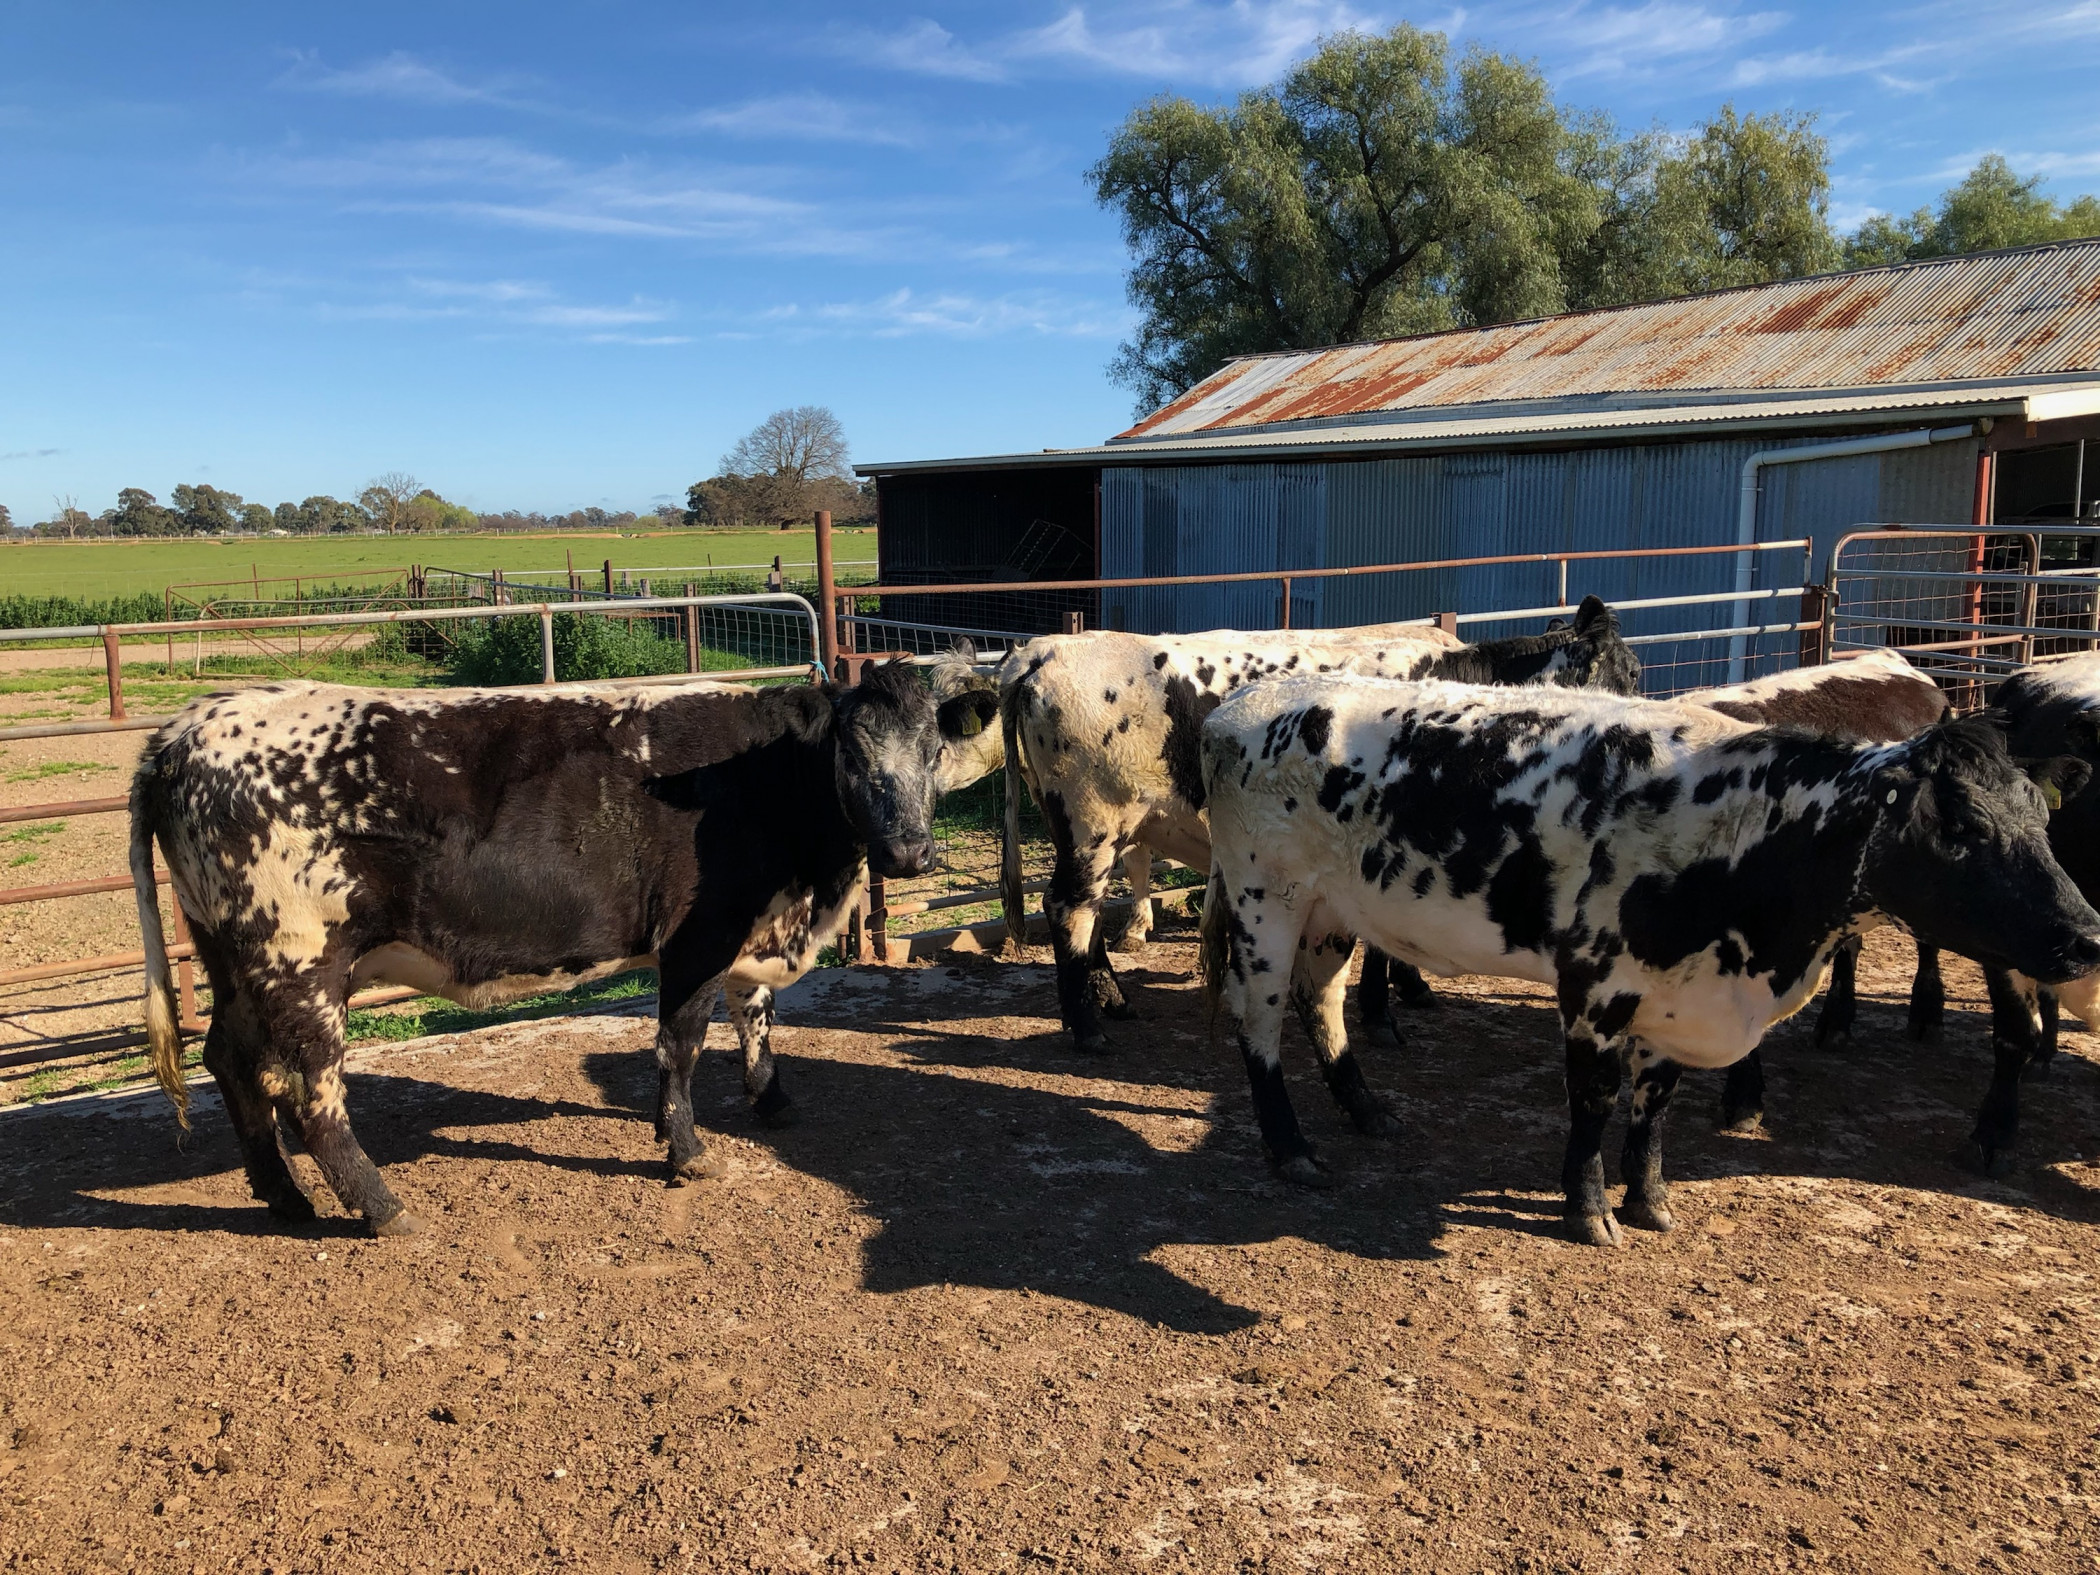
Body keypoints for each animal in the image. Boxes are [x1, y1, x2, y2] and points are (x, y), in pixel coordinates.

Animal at [131, 659, 1000, 1236]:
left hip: (232, 958)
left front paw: (772, 1098)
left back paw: (283, 1195)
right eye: (852, 755)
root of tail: (185, 727)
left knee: (230, 1061)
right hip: (302, 959)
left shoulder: (751, 929)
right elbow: (681, 1044)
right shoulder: (698, 935)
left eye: (933, 754)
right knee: (309, 1092)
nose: (909, 852)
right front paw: (686, 1150)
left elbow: (755, 1015)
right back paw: (381, 1206)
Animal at [999, 597, 1641, 1052]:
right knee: (1068, 908)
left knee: (1082, 912)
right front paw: (1384, 1013)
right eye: (1628, 674)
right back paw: (1087, 1028)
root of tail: (1043, 652)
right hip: (1093, 823)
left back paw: (1110, 998)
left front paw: (1411, 989)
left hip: (1081, 827)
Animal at [1196, 676, 2100, 1245]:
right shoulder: (1596, 987)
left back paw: (1365, 1107)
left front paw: (1649, 1199)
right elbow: (1595, 1101)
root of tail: (1245, 703)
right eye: (1962, 828)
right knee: (1260, 1024)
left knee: (1322, 1004)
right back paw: (1290, 1146)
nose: (2086, 932)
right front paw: (1588, 1208)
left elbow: (1655, 1103)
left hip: (1332, 913)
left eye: (2041, 819)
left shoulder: (1678, 1000)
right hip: (1265, 902)